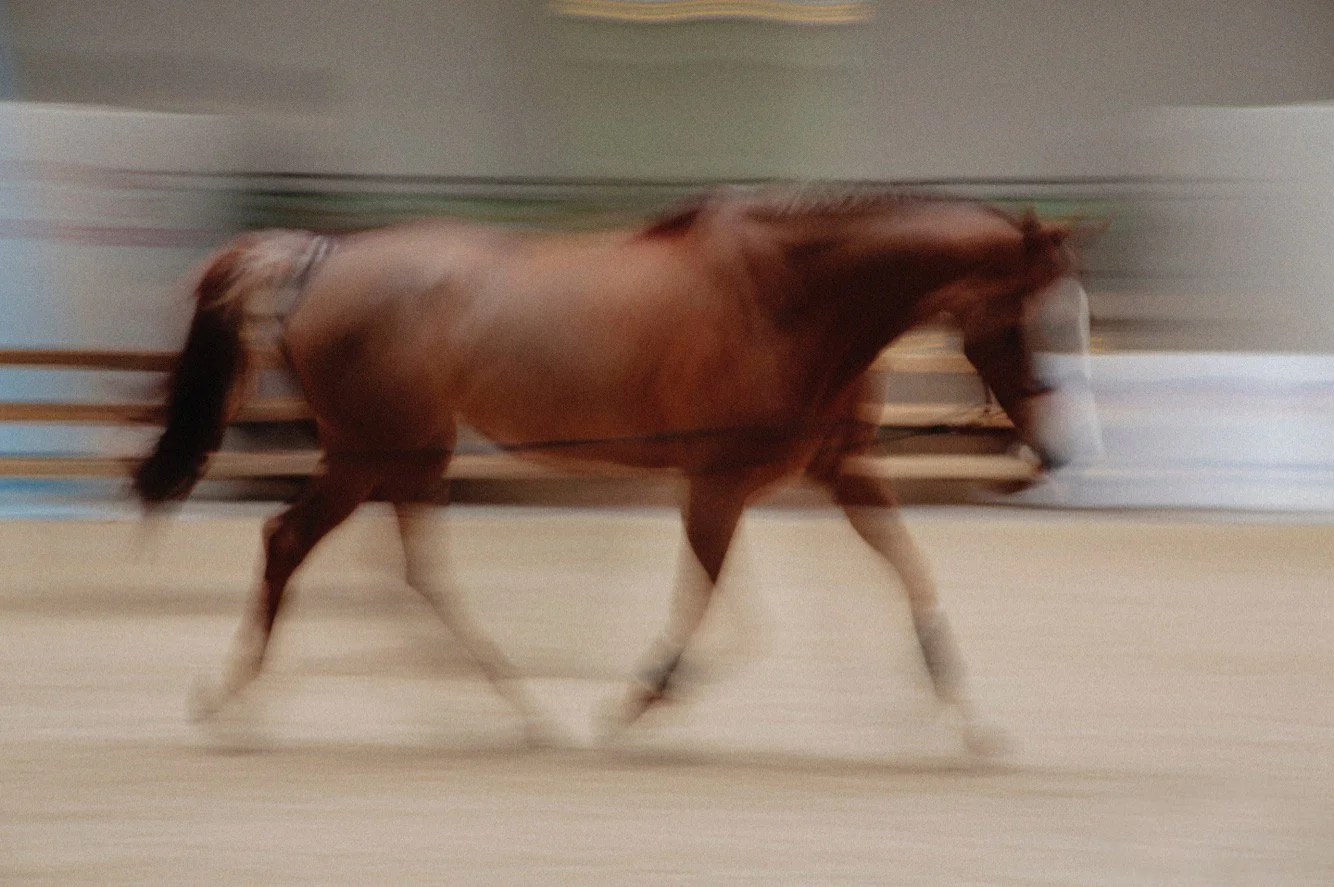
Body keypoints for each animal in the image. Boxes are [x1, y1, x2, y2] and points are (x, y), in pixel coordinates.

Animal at [133, 187, 1102, 748]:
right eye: (1035, 320)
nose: (1061, 453)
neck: (792, 301)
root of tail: (325, 258)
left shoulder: (841, 472)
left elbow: (907, 571)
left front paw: (966, 717)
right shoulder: (717, 484)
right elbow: (709, 600)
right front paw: (642, 698)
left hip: (402, 456)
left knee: (402, 567)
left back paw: (501, 708)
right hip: (377, 451)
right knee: (292, 543)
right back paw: (241, 705)